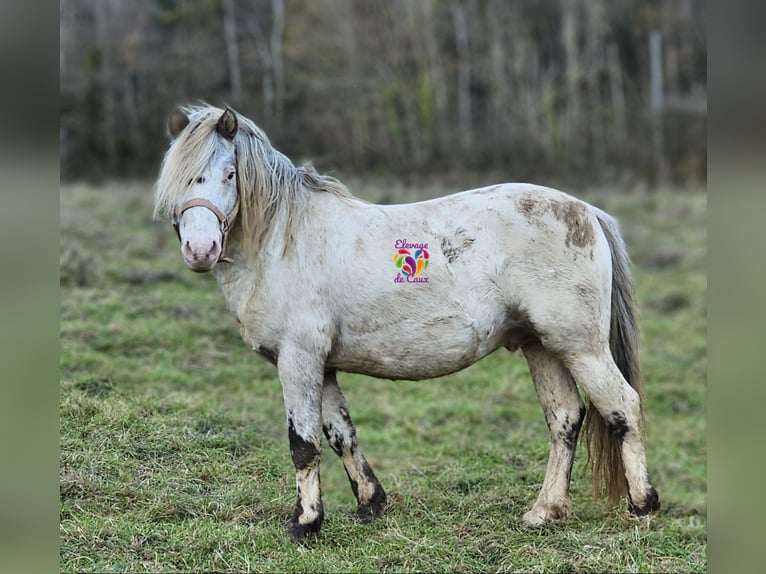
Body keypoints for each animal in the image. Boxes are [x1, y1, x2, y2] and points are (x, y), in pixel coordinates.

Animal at [154, 104, 660, 544]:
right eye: (178, 178)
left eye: (229, 174)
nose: (200, 250)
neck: (284, 240)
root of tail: (588, 211)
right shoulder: (324, 365)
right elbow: (340, 434)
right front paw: (370, 504)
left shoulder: (298, 360)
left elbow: (304, 443)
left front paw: (305, 524)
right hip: (541, 346)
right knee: (565, 419)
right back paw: (545, 511)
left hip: (579, 346)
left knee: (621, 407)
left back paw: (642, 505)